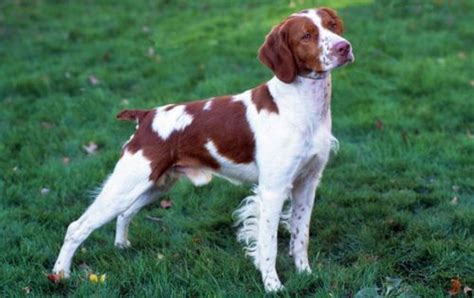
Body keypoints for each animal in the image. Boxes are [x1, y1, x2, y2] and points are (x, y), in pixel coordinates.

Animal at [53, 7, 354, 294]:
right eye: (306, 36)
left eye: (332, 25)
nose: (344, 47)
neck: (301, 107)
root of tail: (146, 116)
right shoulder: (273, 188)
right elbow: (268, 245)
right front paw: (273, 286)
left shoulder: (307, 182)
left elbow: (300, 236)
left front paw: (306, 275)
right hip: (127, 183)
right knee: (77, 226)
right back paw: (59, 274)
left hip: (156, 185)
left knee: (124, 214)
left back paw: (121, 246)